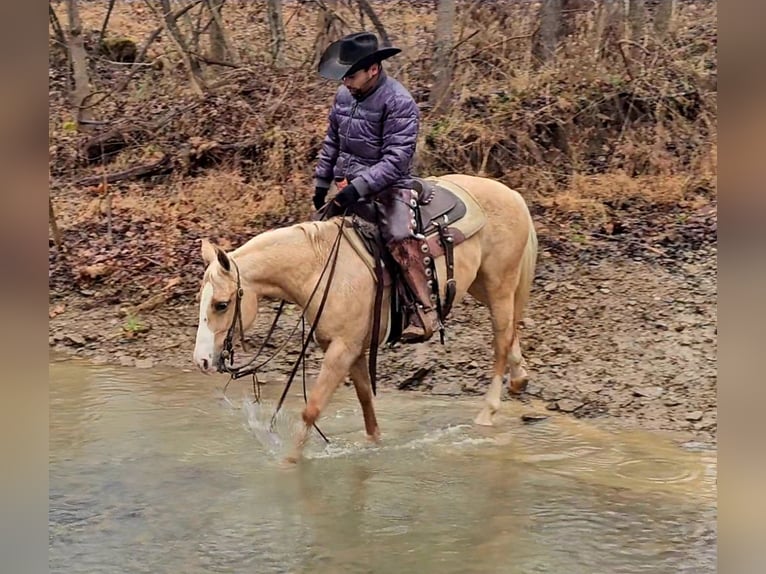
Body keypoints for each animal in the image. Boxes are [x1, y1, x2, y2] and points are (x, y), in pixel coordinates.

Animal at [194, 173, 540, 462]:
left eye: (221, 305)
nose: (202, 361)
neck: (321, 268)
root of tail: (511, 194)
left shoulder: (342, 349)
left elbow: (312, 409)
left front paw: (289, 463)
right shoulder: (353, 349)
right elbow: (367, 408)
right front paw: (374, 446)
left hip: (500, 282)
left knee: (501, 339)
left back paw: (487, 412)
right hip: (482, 284)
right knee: (511, 333)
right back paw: (520, 379)